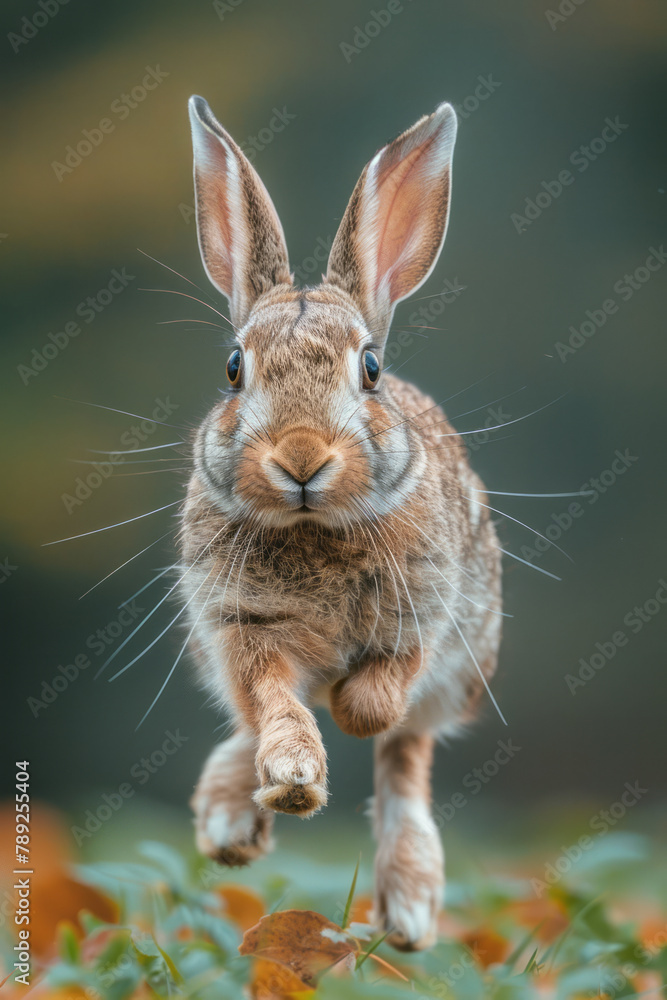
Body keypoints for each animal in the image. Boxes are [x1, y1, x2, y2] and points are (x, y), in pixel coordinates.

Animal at [183, 95, 502, 951]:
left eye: (370, 369)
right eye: (233, 367)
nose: (299, 457)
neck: (312, 530)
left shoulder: (421, 621)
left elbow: (377, 706)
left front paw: (346, 712)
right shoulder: (241, 624)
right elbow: (273, 701)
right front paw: (293, 778)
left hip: (464, 669)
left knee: (405, 759)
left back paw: (409, 911)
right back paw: (230, 818)